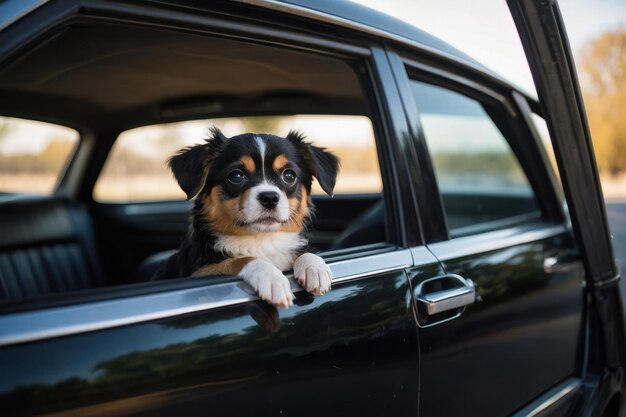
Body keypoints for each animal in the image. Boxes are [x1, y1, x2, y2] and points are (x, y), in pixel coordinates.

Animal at [154, 128, 338, 308]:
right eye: (236, 176)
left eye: (289, 175)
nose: (270, 198)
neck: (262, 239)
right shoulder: (199, 272)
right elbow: (240, 260)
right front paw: (272, 278)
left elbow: (306, 252)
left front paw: (314, 267)